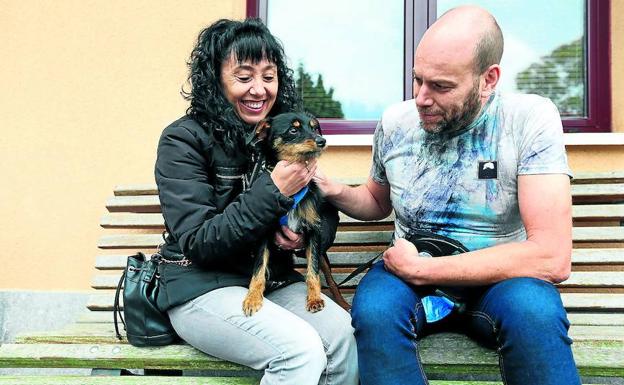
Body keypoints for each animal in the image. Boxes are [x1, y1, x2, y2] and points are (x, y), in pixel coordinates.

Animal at [243, 111, 332, 316]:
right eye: (293, 130)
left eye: (314, 127)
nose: (322, 140)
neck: (290, 193)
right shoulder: (263, 235)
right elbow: (258, 268)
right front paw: (252, 298)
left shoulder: (314, 231)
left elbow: (313, 269)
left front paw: (314, 298)